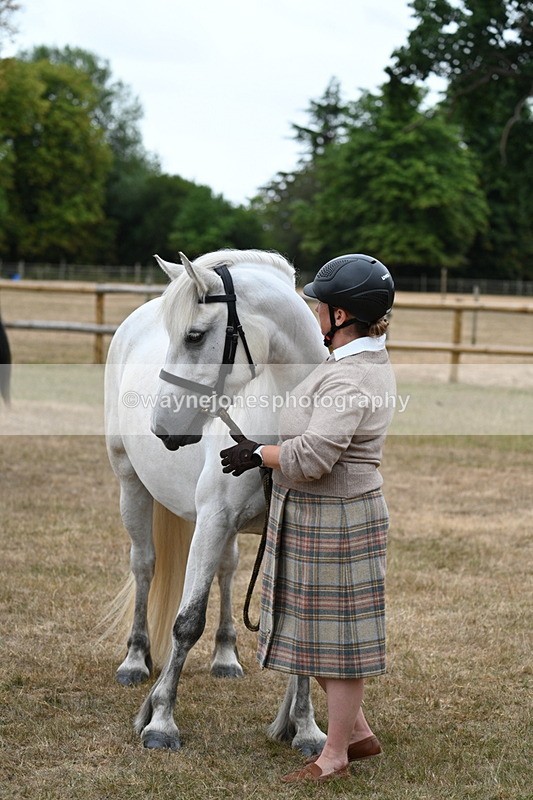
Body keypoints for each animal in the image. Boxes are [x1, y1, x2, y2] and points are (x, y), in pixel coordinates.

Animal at [104, 248, 329, 754]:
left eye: (194, 335)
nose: (163, 429)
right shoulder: (212, 520)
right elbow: (187, 622)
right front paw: (161, 721)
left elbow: (300, 631)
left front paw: (305, 728)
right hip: (131, 485)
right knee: (144, 566)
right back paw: (135, 660)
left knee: (227, 571)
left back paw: (226, 655)